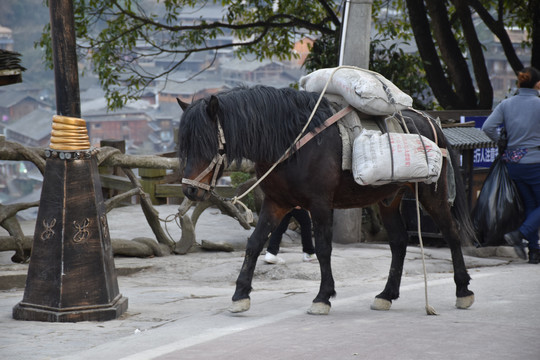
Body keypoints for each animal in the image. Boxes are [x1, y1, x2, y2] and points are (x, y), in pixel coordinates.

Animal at [175, 84, 474, 316]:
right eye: (185, 145)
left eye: (205, 143)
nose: (190, 191)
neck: (293, 143)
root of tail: (432, 122)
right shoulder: (276, 202)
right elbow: (254, 244)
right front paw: (240, 295)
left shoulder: (319, 204)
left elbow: (323, 248)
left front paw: (322, 296)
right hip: (388, 198)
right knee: (399, 242)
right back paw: (386, 294)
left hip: (431, 193)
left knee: (451, 233)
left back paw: (463, 290)